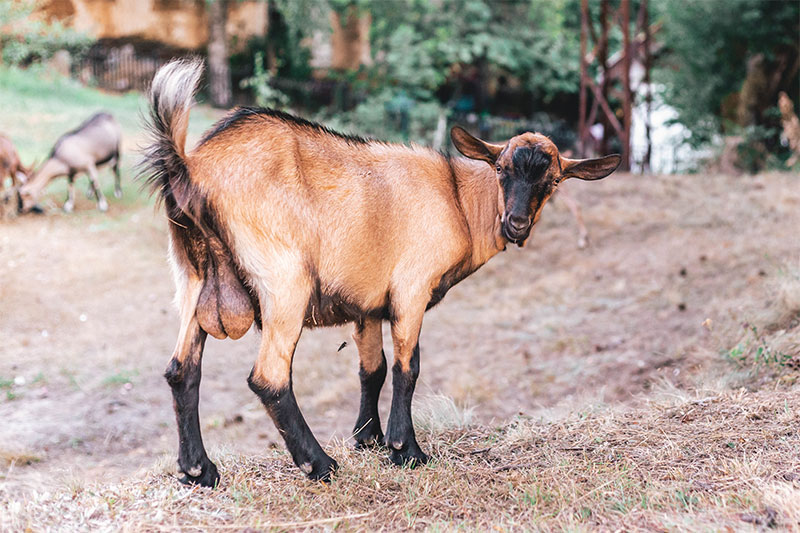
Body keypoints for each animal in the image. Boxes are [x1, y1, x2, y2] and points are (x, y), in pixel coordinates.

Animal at [141, 59, 620, 486]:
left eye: (552, 181)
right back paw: (319, 465)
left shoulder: (366, 304)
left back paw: (198, 472)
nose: (516, 223)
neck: (459, 201)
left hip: (192, 281)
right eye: (501, 168)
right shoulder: (411, 288)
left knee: (182, 370)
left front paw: (367, 438)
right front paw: (405, 450)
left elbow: (372, 368)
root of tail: (190, 166)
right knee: (269, 378)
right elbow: (408, 367)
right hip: (285, 282)